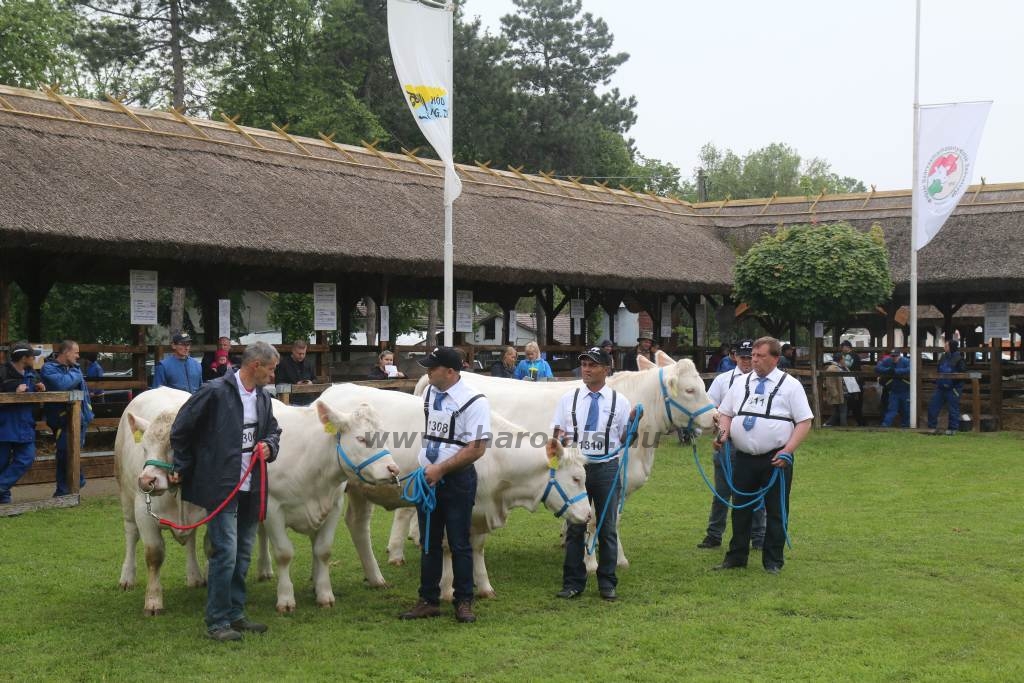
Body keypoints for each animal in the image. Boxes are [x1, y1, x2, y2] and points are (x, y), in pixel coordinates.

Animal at [116, 387, 395, 618]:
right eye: (361, 439)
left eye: (384, 437)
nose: (392, 469)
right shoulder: (273, 506)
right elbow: (284, 553)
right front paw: (286, 599)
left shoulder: (332, 505)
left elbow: (323, 550)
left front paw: (324, 593)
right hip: (128, 497)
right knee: (130, 533)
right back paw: (128, 577)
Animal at [307, 382, 589, 602]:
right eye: (576, 478)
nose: (587, 514)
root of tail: (334, 389)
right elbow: (448, 547)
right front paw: (447, 588)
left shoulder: (479, 509)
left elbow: (477, 547)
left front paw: (484, 586)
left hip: (361, 489)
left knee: (358, 525)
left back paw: (375, 577)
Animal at [411, 358, 716, 573]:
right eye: (690, 390)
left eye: (703, 386)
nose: (715, 418)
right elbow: (594, 518)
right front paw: (591, 562)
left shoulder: (619, 483)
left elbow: (612, 520)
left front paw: (617, 558)